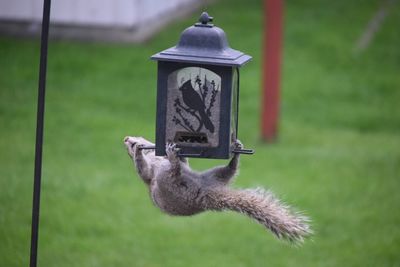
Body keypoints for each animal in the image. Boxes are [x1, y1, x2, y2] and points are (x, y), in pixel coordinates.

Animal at [123, 137, 310, 244]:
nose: (127, 139)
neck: (156, 157)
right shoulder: (149, 173)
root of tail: (203, 195)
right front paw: (139, 153)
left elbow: (184, 161)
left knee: (229, 170)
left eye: (137, 137)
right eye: (130, 147)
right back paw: (173, 159)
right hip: (168, 181)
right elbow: (143, 170)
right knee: (176, 171)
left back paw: (235, 154)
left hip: (213, 175)